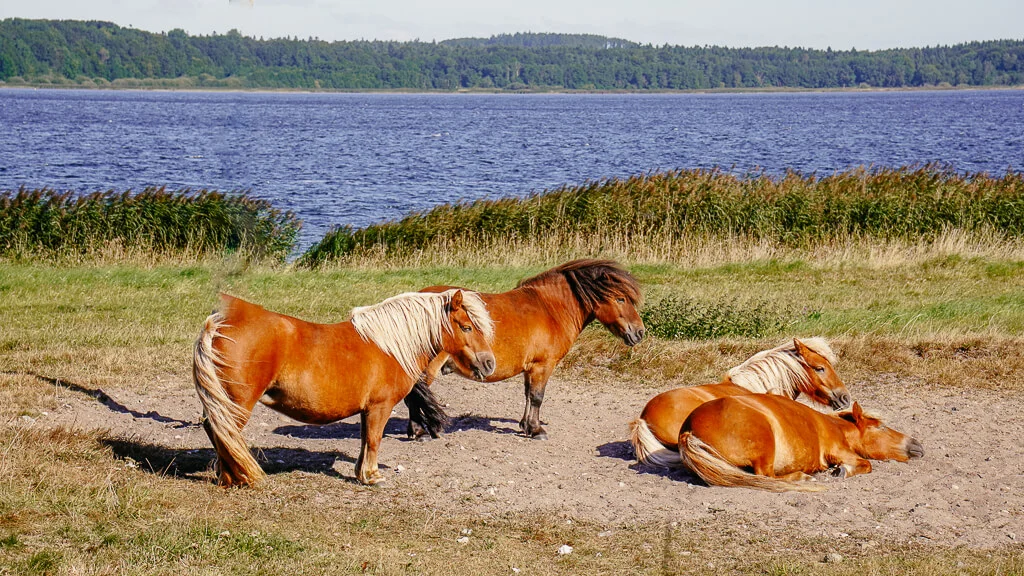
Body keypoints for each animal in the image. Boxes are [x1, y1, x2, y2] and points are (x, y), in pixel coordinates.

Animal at [192, 289, 495, 487]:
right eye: (466, 327)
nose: (489, 362)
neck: (389, 345)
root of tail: (219, 322)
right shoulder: (380, 407)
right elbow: (374, 440)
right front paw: (373, 476)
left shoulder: (366, 410)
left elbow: (364, 440)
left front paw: (361, 473)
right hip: (237, 403)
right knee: (223, 432)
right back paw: (237, 477)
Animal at [409, 259, 644, 440]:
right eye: (620, 298)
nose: (639, 332)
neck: (550, 309)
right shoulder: (543, 366)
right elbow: (537, 396)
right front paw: (536, 429)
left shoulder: (530, 368)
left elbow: (528, 395)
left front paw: (525, 425)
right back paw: (419, 432)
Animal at [679, 395, 924, 492]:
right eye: (881, 427)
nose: (918, 445)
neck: (836, 426)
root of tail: (689, 428)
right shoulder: (838, 450)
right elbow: (866, 464)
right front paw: (843, 471)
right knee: (766, 475)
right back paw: (801, 477)